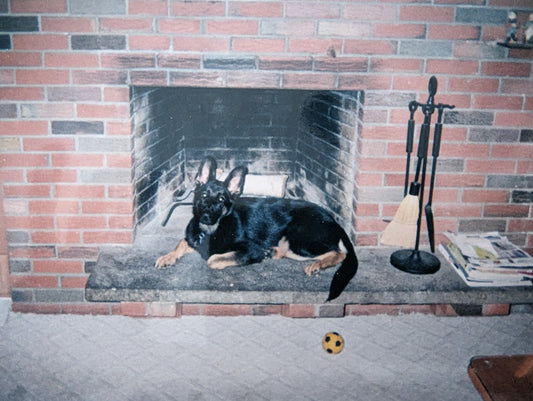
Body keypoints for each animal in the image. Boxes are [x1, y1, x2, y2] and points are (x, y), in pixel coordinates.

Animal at [157, 156, 358, 300]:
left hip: (296, 241)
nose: (206, 216)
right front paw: (167, 257)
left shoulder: (250, 249)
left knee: (339, 253)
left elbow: (212, 259)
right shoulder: (192, 239)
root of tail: (333, 220)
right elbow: (181, 243)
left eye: (221, 199)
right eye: (204, 195)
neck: (212, 230)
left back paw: (317, 264)